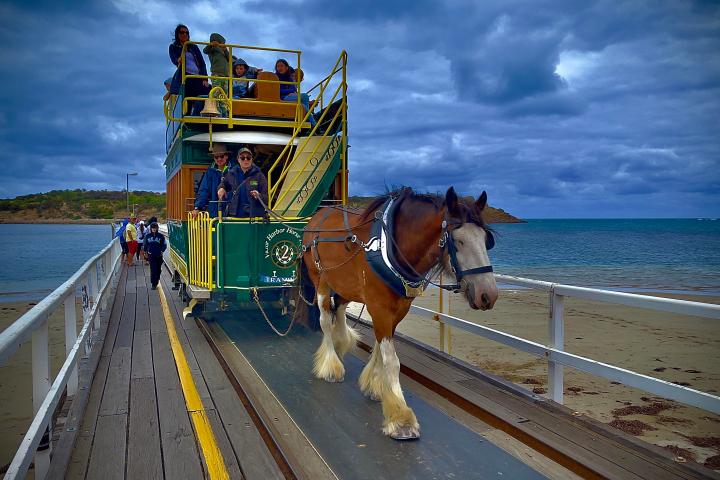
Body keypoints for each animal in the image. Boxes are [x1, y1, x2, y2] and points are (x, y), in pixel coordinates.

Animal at [294, 186, 498, 440]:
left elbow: (381, 349)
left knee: (339, 308)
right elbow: (392, 360)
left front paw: (374, 385)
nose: (488, 295)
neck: (392, 245)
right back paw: (331, 365)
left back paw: (342, 343)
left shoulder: (398, 309)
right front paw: (401, 418)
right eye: (458, 241)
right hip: (320, 280)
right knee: (324, 320)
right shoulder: (379, 307)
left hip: (344, 284)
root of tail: (319, 215)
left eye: (486, 240)